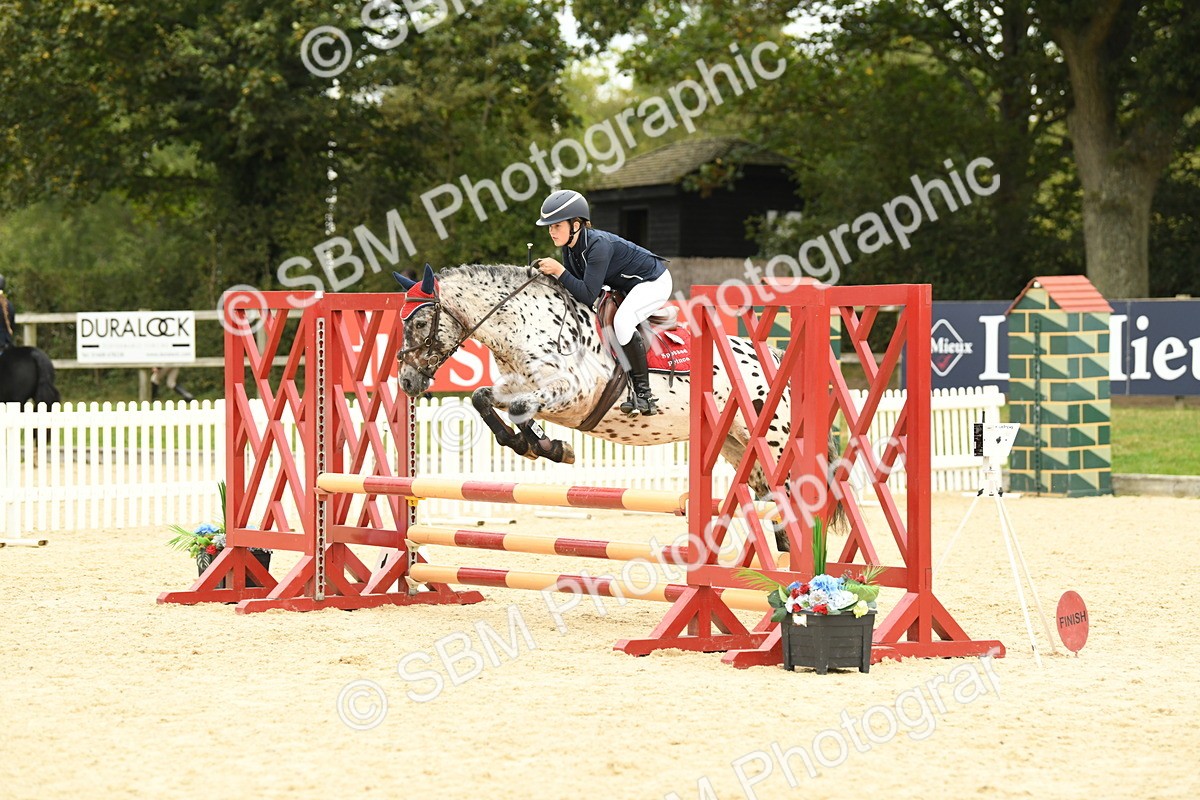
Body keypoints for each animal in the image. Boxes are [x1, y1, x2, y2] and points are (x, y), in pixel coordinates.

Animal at [393, 264, 842, 545]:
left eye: (420, 322)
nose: (407, 382)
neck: (524, 323)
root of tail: (775, 359)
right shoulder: (518, 386)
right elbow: (484, 398)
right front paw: (541, 445)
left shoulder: (571, 393)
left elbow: (518, 405)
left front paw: (545, 445)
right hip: (740, 447)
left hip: (776, 442)